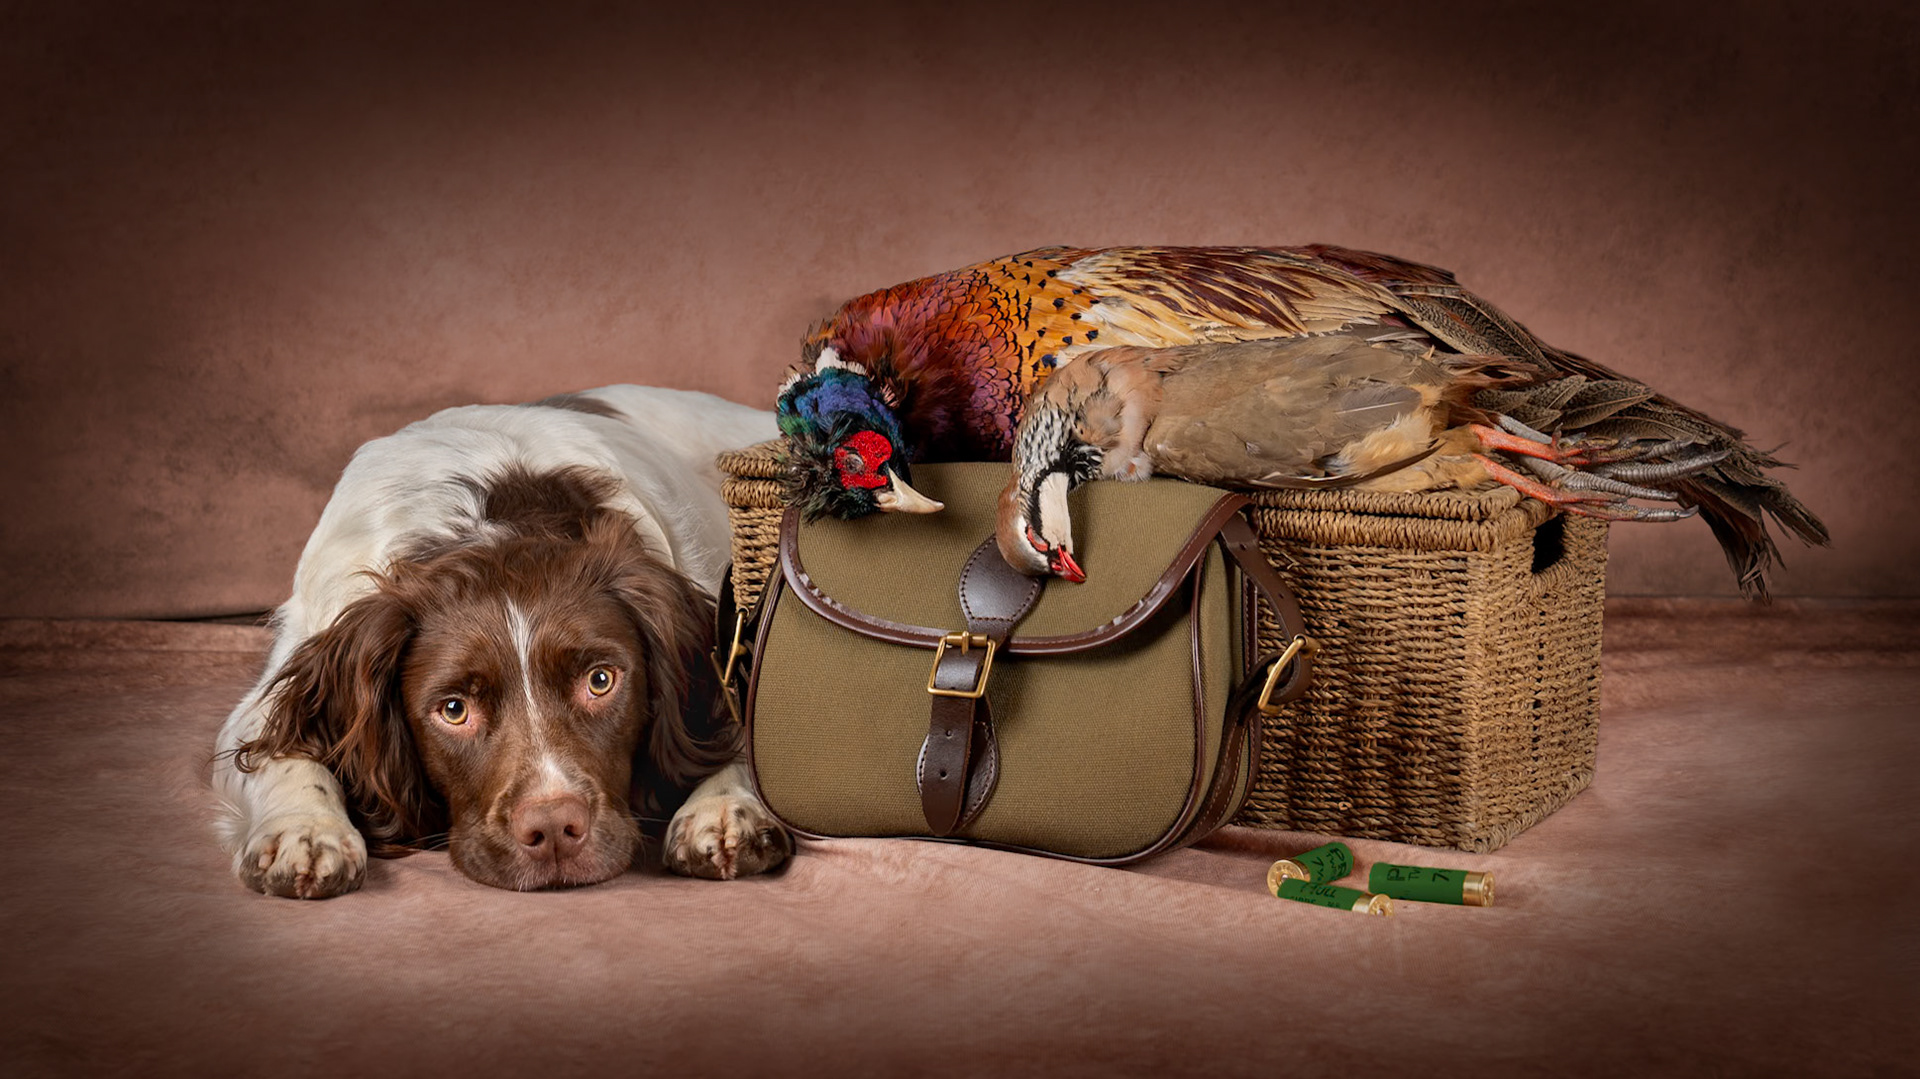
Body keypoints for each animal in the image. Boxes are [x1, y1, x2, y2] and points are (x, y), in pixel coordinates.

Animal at [213, 385, 790, 897]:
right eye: (453, 709)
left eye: (600, 680)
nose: (555, 829)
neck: (490, 529)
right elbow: (282, 752)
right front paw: (305, 829)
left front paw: (723, 806)